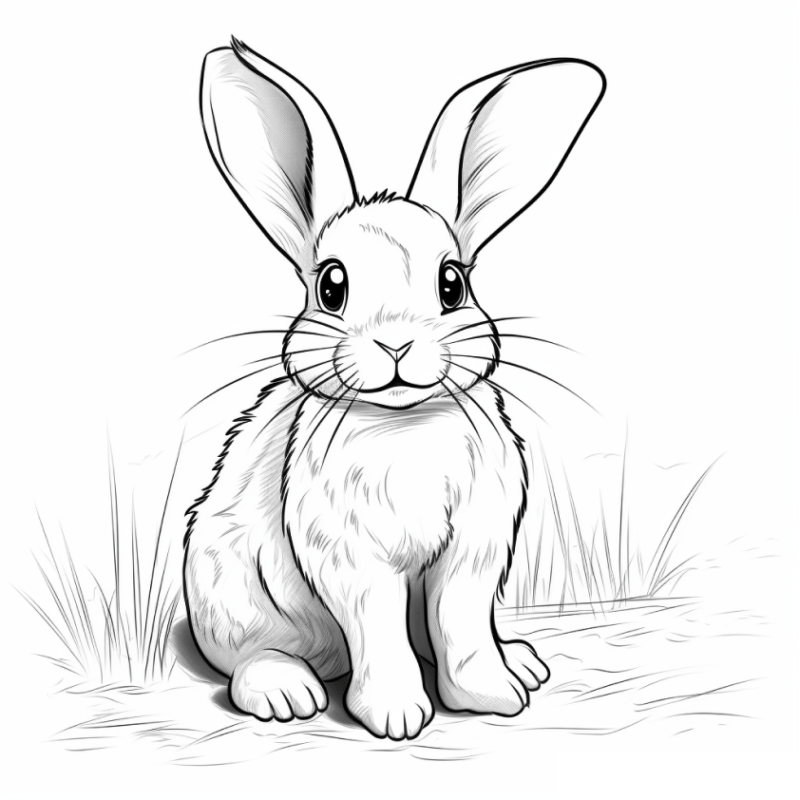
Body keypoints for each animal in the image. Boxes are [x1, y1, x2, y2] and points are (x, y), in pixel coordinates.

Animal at [184, 38, 605, 741]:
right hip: (228, 590)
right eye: (331, 285)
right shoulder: (350, 556)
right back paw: (286, 693)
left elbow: (462, 624)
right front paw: (397, 716)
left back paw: (521, 661)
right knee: (248, 657)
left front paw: (490, 694)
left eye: (452, 283)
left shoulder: (476, 546)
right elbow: (378, 627)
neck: (404, 423)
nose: (397, 344)